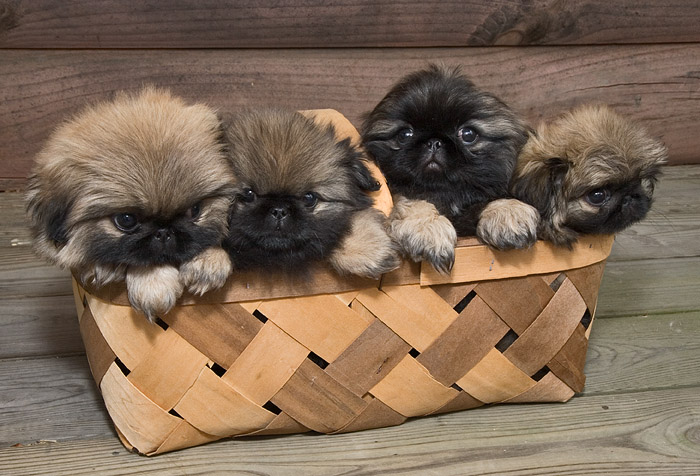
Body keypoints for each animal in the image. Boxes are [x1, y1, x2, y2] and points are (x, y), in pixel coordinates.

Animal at [360, 64, 536, 270]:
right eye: (404, 135)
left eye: (468, 134)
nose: (434, 142)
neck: (446, 194)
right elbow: (412, 202)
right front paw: (428, 228)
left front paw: (508, 212)